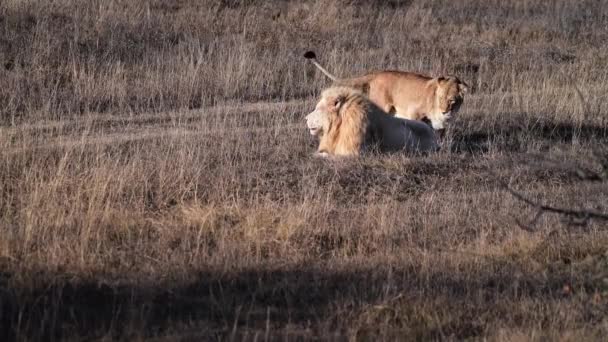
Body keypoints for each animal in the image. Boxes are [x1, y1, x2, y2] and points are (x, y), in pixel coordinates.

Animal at [304, 51, 470, 136]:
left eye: (452, 100)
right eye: (441, 98)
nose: (444, 111)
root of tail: (377, 73)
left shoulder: (441, 126)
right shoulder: (414, 113)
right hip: (383, 106)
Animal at [306, 85, 440, 156]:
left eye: (318, 109)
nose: (305, 118)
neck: (337, 128)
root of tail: (434, 134)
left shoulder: (355, 152)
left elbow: (323, 155)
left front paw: (314, 155)